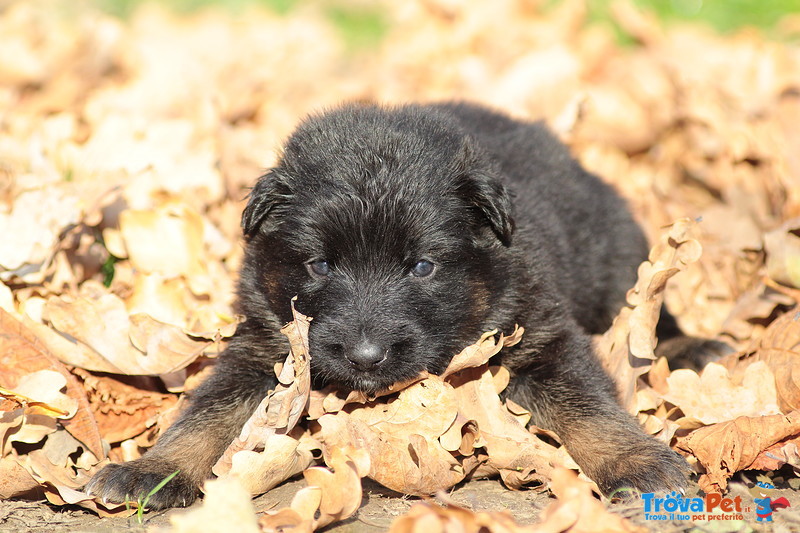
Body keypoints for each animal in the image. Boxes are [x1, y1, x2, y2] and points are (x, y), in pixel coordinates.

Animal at [86, 103, 688, 508]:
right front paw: (155, 469)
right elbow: (206, 413)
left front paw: (639, 461)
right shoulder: (265, 347)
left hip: (621, 260)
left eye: (421, 267)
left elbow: (591, 409)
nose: (366, 356)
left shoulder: (540, 332)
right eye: (319, 265)